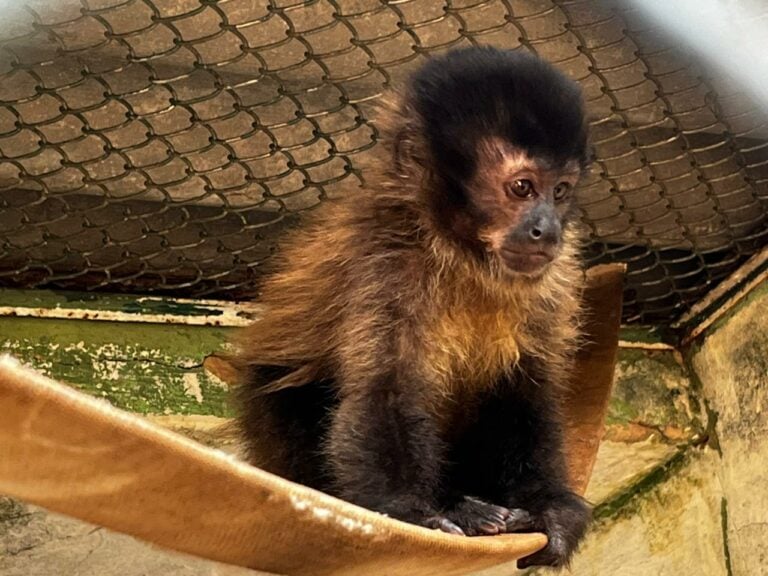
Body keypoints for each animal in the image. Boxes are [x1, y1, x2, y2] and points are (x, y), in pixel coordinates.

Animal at [232, 46, 591, 569]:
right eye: (523, 188)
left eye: (560, 192)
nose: (548, 228)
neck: (465, 259)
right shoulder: (388, 259)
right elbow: (386, 390)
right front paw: (413, 511)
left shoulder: (557, 276)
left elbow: (523, 392)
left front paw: (550, 509)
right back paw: (460, 508)